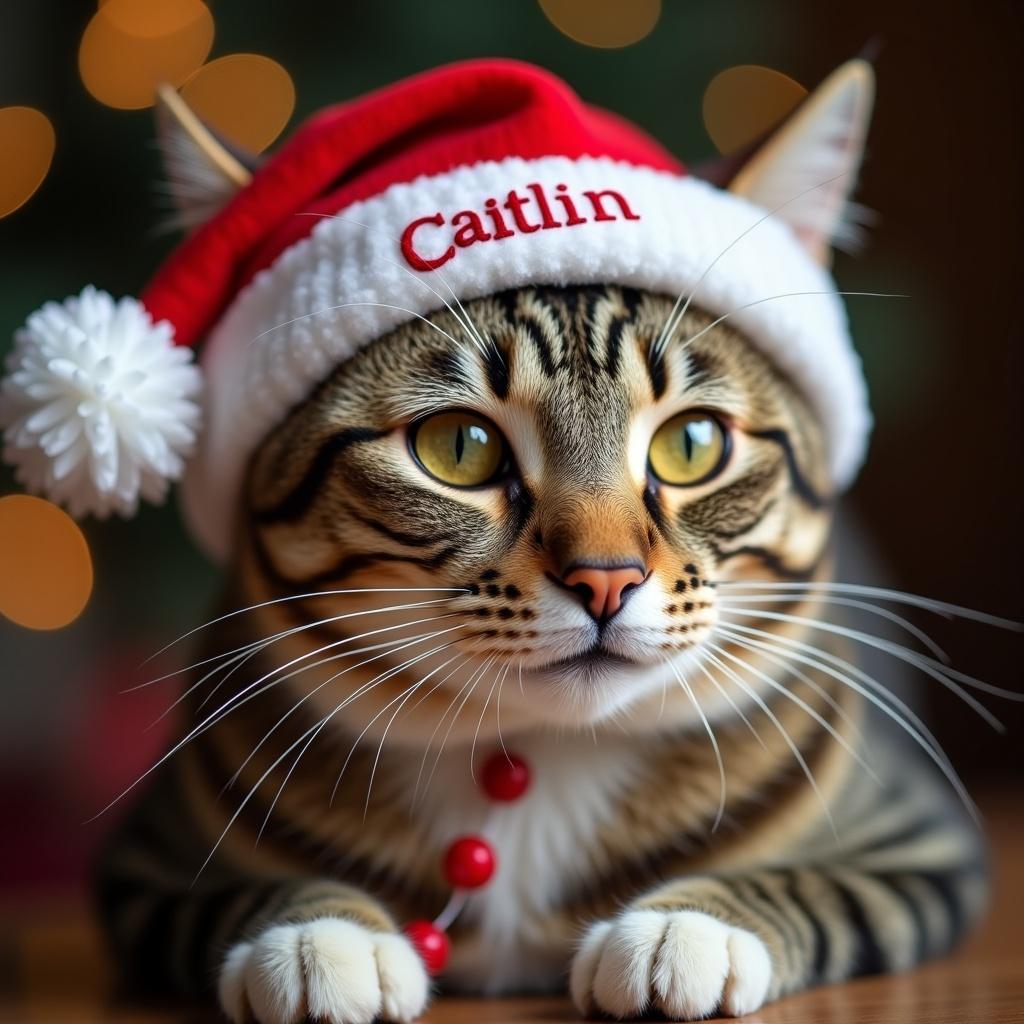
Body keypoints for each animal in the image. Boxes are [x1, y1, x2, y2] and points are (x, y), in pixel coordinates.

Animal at [97, 59, 999, 1019]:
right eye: (458, 447)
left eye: (693, 443)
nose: (606, 579)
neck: (532, 763)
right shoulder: (146, 865)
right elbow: (234, 899)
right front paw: (320, 938)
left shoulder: (921, 844)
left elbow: (818, 888)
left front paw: (687, 927)